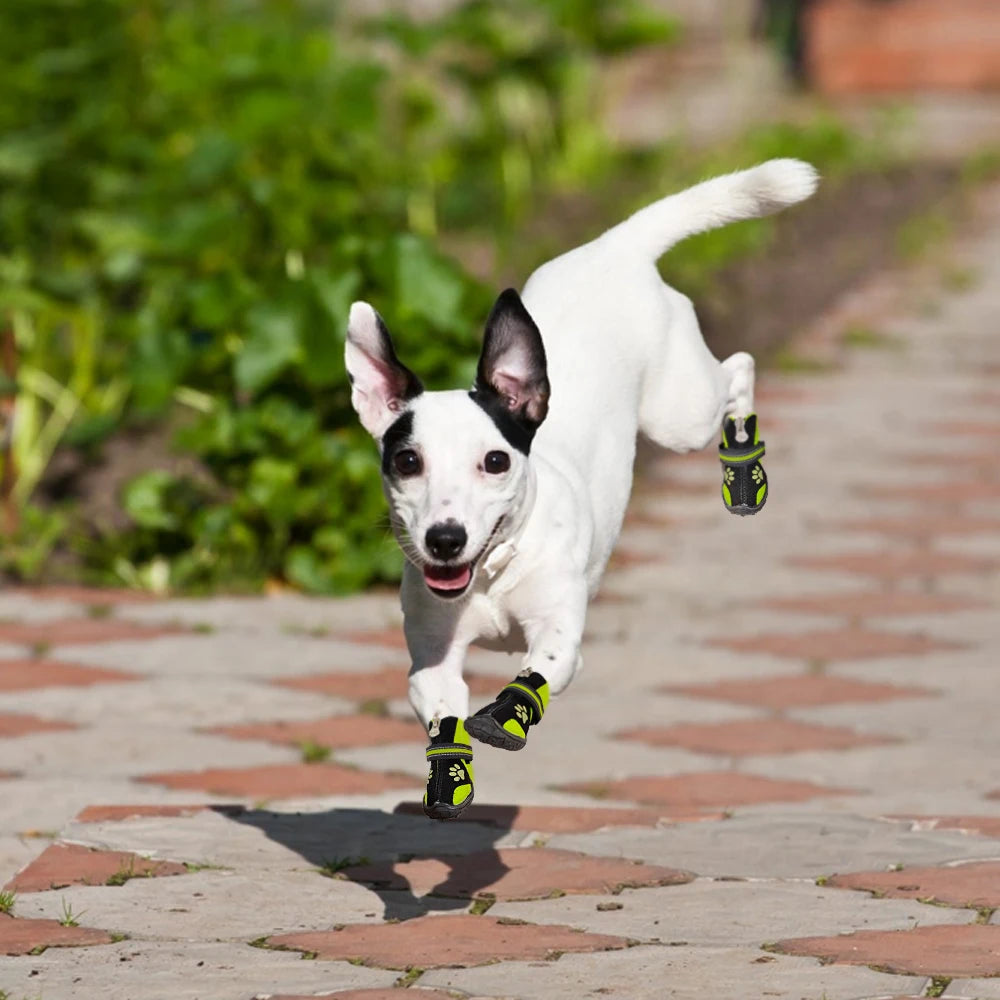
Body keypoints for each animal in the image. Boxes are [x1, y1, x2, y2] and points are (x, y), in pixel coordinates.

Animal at [348, 154, 816, 812]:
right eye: (407, 461)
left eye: (495, 461)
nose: (444, 538)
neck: (495, 571)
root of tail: (615, 245)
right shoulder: (432, 657)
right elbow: (442, 708)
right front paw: (449, 772)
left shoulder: (560, 635)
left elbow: (540, 667)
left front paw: (510, 712)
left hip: (680, 414)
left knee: (739, 369)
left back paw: (743, 459)